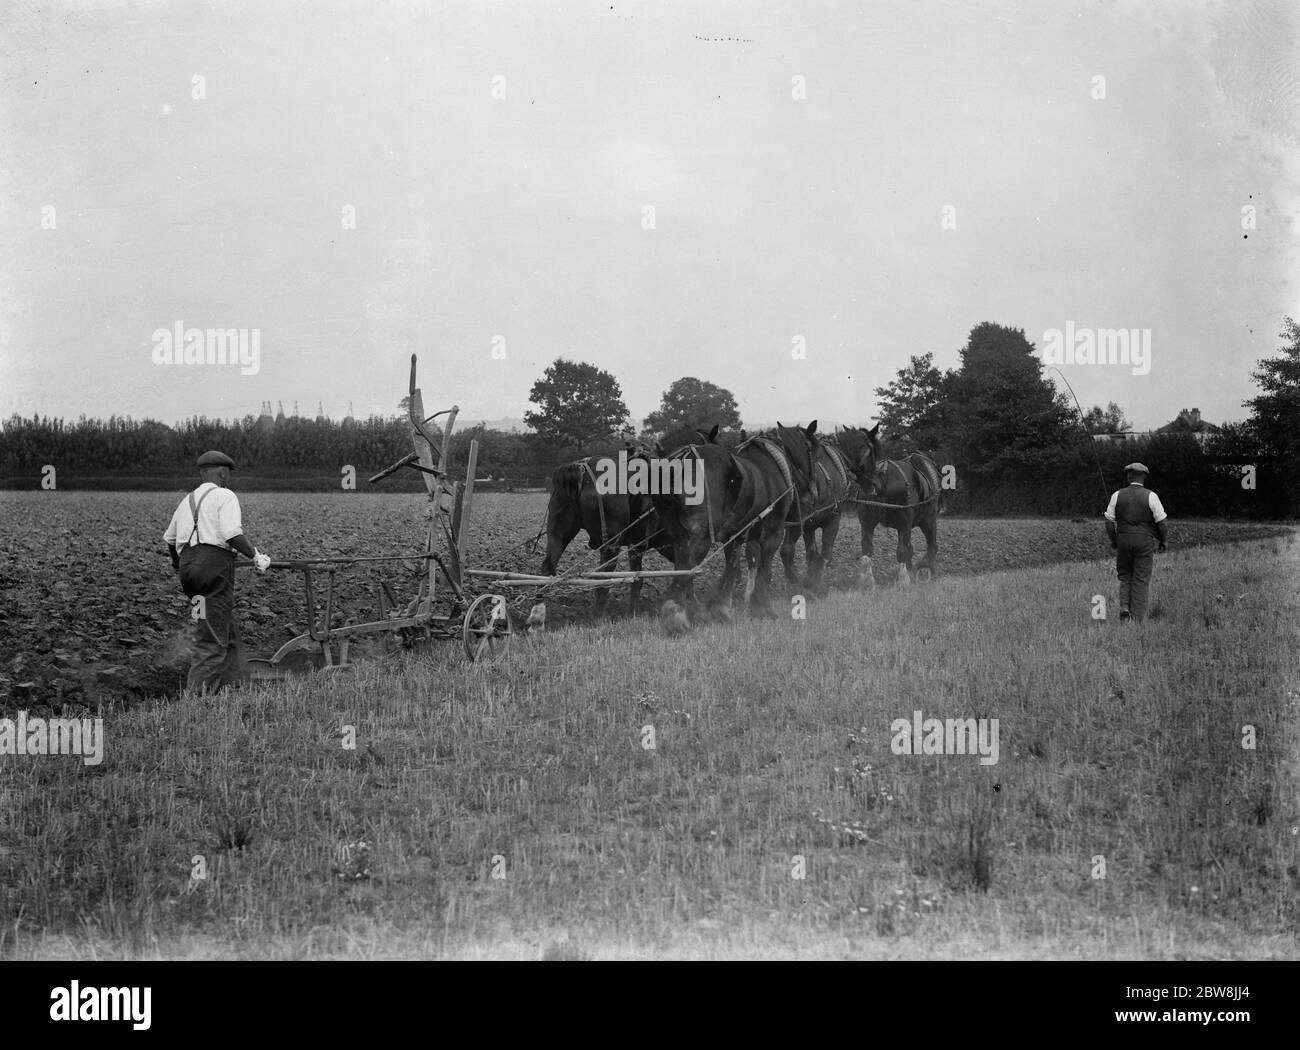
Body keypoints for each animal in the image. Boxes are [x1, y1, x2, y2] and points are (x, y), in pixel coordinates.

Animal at [538, 423, 722, 610]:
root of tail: (582, 469)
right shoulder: (643, 544)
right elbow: (678, 572)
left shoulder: (654, 544)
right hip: (610, 545)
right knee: (602, 580)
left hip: (559, 535)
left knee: (546, 570)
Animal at [655, 431, 795, 618]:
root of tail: (682, 459)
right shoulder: (773, 532)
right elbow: (763, 568)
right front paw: (762, 605)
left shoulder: (735, 535)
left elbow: (733, 566)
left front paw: (722, 605)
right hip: (702, 535)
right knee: (688, 566)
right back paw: (676, 609)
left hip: (677, 533)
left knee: (682, 565)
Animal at [837, 426, 941, 589]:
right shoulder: (869, 523)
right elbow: (869, 549)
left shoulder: (905, 525)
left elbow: (904, 551)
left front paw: (906, 578)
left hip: (923, 521)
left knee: (930, 545)